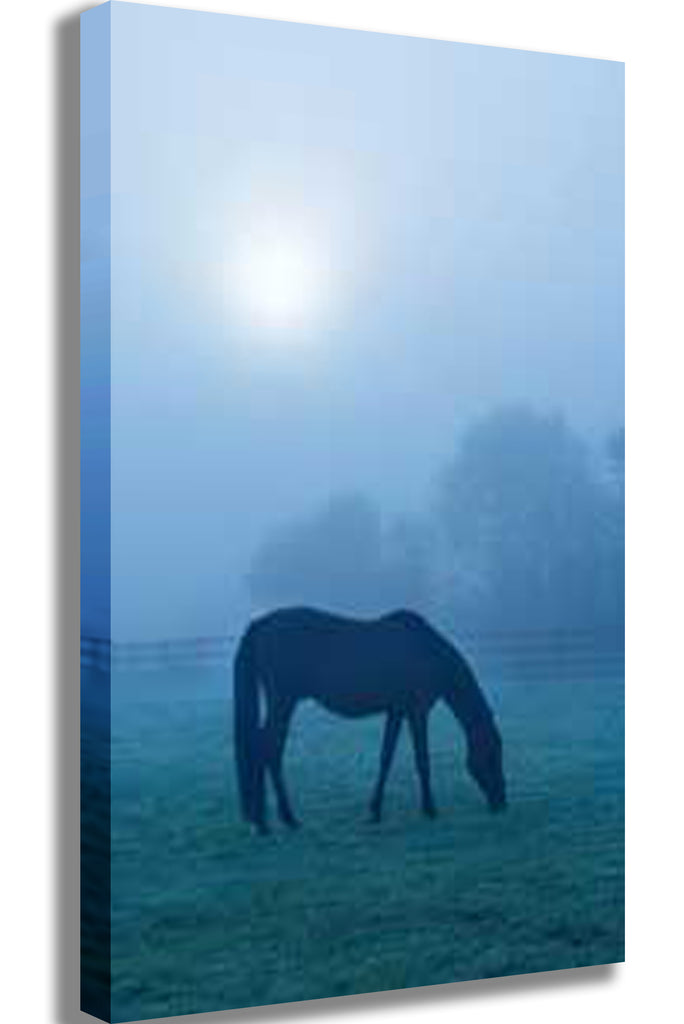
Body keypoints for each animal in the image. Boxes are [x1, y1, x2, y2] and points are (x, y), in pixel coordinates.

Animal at [233, 607, 506, 834]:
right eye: (492, 754)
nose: (501, 802)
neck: (428, 653)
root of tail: (262, 623)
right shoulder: (417, 712)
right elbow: (422, 761)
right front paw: (430, 810)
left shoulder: (396, 711)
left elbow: (386, 758)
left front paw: (375, 811)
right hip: (283, 701)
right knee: (267, 748)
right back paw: (277, 820)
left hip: (283, 703)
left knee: (267, 749)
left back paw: (269, 820)